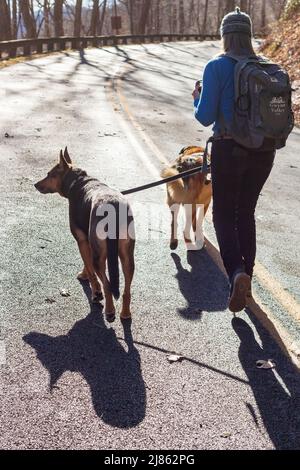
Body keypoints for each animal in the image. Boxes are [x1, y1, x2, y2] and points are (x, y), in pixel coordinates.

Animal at [33, 148, 135, 324]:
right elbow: (87, 265)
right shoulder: (88, 243)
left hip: (100, 257)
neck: (78, 181)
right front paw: (85, 275)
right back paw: (125, 313)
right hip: (127, 256)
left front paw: (95, 291)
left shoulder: (81, 240)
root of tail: (113, 207)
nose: (35, 185)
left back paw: (109, 311)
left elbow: (90, 270)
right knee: (126, 290)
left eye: (49, 174)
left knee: (107, 284)